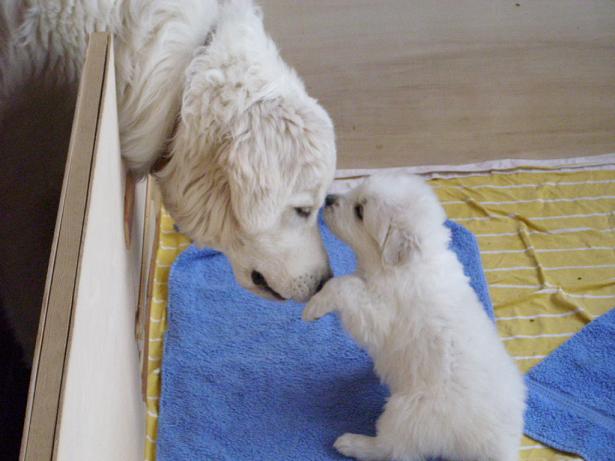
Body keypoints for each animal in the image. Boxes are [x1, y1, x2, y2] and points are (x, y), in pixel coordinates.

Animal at [303, 174, 526, 461]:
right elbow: (350, 281)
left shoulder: (378, 315)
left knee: (390, 449)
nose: (328, 199)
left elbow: (345, 285)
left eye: (360, 211)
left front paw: (313, 307)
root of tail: (498, 446)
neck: (411, 264)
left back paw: (352, 443)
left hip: (406, 413)